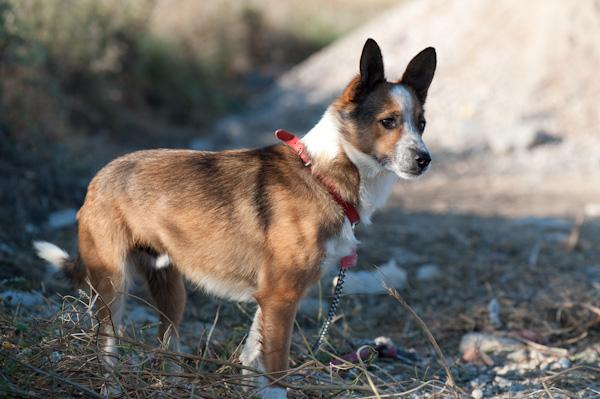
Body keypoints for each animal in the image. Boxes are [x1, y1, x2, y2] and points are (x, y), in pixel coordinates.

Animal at [34, 38, 436, 399]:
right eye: (388, 122)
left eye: (421, 124)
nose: (424, 160)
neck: (323, 175)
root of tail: (99, 177)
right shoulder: (280, 299)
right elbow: (274, 377)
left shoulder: (269, 301)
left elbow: (251, 362)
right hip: (112, 287)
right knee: (107, 346)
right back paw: (111, 386)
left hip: (171, 290)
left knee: (167, 346)